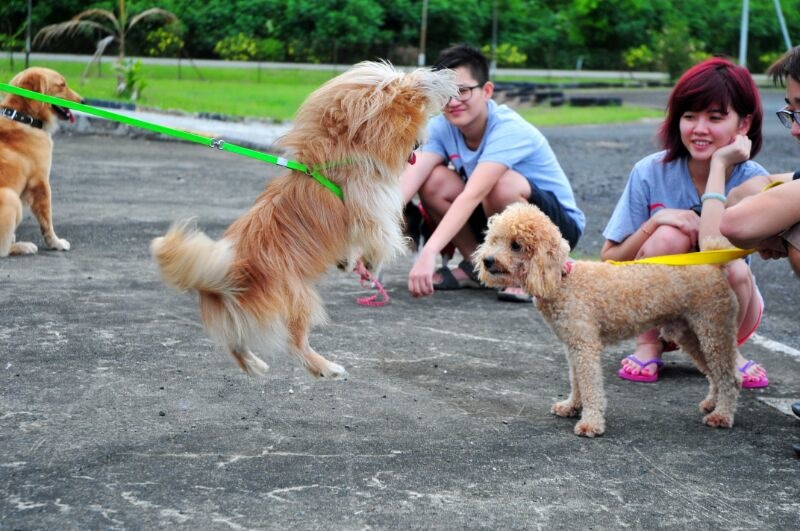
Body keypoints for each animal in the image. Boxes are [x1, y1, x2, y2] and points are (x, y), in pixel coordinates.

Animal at [0, 66, 82, 258]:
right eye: (62, 85)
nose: (83, 101)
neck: (23, 117)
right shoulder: (41, 183)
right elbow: (47, 221)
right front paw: (56, 243)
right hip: (10, 196)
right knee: (2, 250)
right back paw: (24, 246)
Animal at [151, 61, 456, 378]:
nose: (419, 145)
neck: (337, 156)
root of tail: (228, 274)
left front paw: (348, 262)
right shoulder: (372, 212)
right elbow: (380, 239)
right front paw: (370, 264)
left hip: (238, 317)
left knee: (235, 344)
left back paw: (255, 366)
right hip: (298, 299)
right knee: (296, 345)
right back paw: (327, 368)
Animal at [472, 204, 740, 436]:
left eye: (516, 245)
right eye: (494, 240)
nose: (487, 260)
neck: (563, 281)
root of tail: (714, 266)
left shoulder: (585, 347)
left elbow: (590, 385)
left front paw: (590, 423)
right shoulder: (573, 346)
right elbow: (576, 380)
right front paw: (571, 406)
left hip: (714, 329)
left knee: (730, 377)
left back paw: (722, 415)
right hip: (690, 334)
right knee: (714, 373)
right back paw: (712, 403)